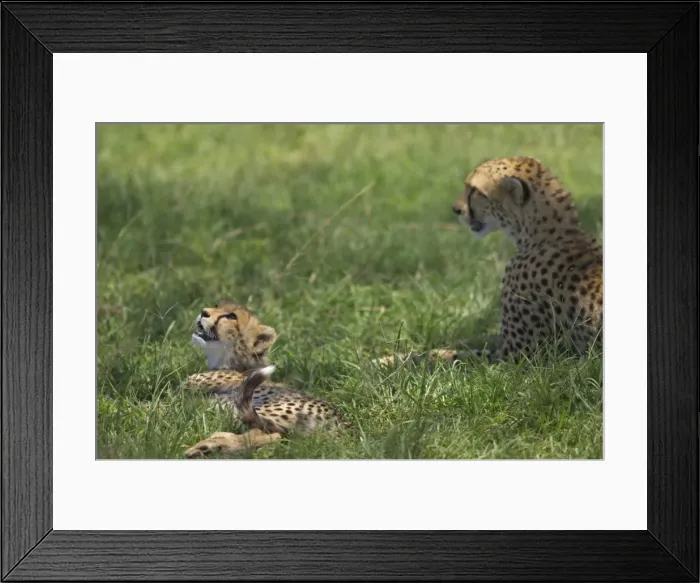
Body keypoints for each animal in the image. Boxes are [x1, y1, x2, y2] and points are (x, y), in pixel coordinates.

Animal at [182, 301, 345, 458]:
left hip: (254, 410)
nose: (203, 312)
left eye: (232, 316)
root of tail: (342, 422)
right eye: (217, 305)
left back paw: (208, 445)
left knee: (272, 434)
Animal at [377, 156, 602, 367]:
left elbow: (450, 356)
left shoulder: (519, 357)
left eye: (475, 190)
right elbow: (474, 339)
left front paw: (389, 362)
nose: (456, 209)